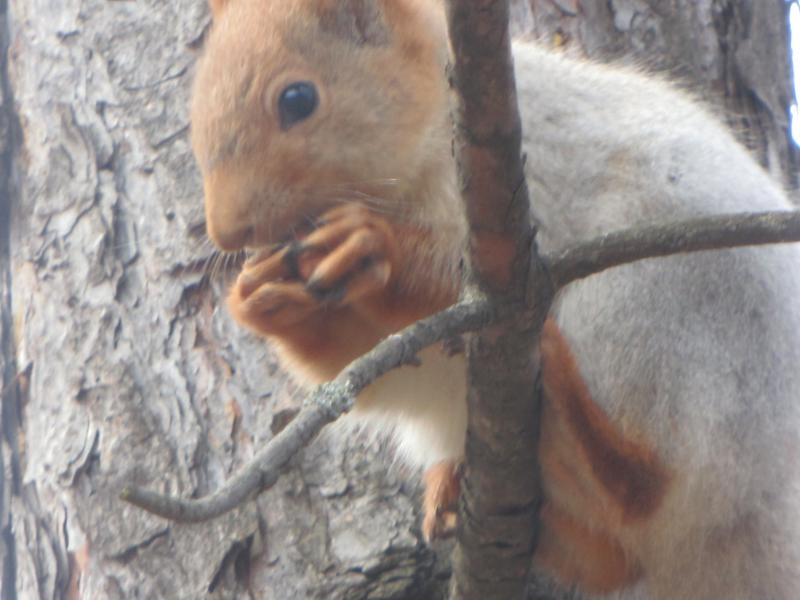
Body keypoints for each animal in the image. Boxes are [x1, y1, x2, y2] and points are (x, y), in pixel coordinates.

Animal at [191, 1, 800, 596]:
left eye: (297, 99)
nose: (227, 233)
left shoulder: (523, 201)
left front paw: (374, 251)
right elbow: (377, 365)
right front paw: (261, 297)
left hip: (667, 309)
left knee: (641, 486)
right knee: (612, 560)